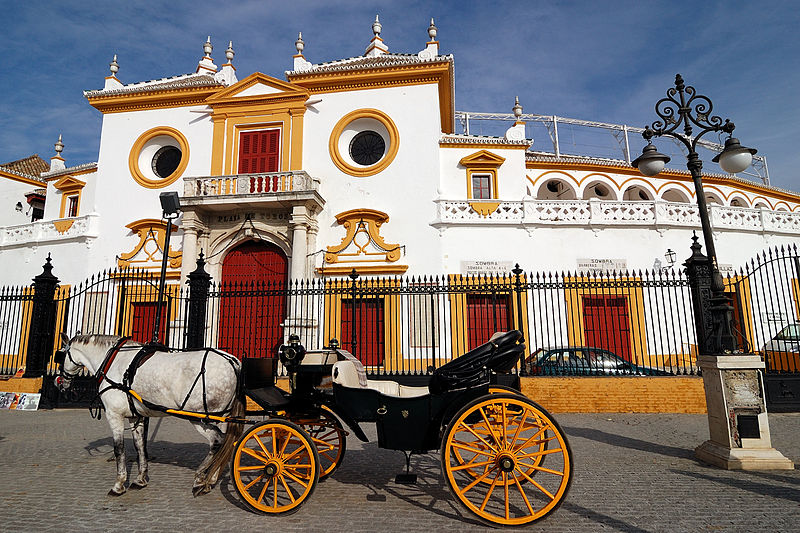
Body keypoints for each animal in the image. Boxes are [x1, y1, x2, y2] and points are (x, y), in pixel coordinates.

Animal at [55, 334, 244, 496]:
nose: (59, 381)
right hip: (221, 418)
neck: (113, 361)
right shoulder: (135, 416)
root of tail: (232, 361)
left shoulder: (114, 415)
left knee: (217, 442)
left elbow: (119, 449)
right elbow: (140, 446)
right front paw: (140, 479)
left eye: (59, 356)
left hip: (199, 418)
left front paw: (118, 484)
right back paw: (211, 479)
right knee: (226, 444)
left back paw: (199, 477)